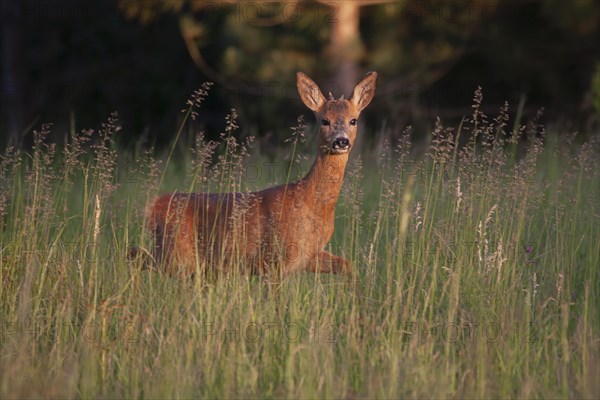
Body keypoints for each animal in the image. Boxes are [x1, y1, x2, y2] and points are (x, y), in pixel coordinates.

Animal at [130, 71, 376, 276]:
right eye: (325, 121)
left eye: (353, 120)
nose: (341, 141)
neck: (312, 203)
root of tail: (153, 206)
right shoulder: (276, 258)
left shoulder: (309, 255)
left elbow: (348, 266)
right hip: (178, 253)